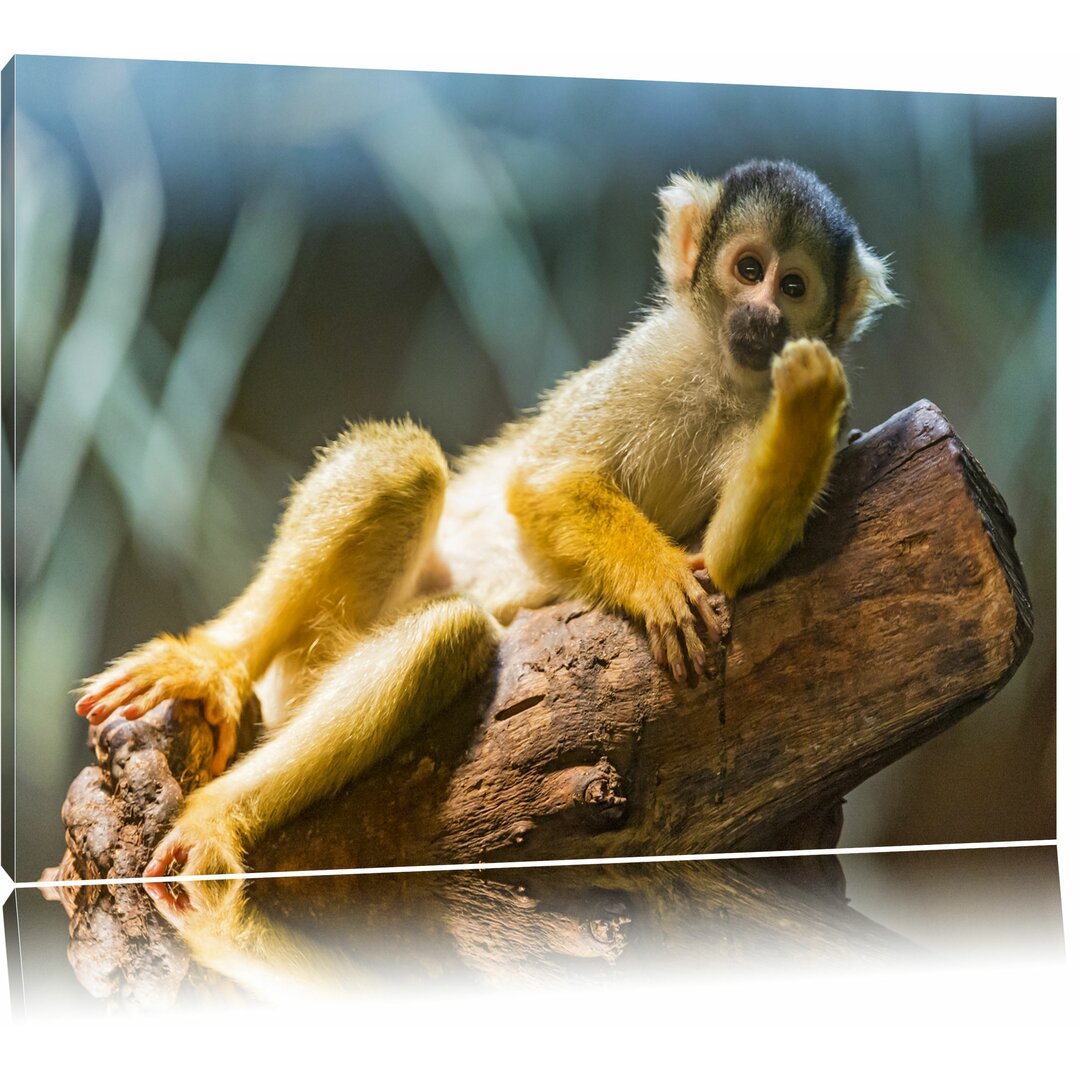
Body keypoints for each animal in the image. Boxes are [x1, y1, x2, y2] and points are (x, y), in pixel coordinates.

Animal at [73, 157, 894, 902]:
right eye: (748, 268)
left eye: (794, 287)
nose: (763, 316)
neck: (724, 373)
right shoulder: (646, 358)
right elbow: (539, 482)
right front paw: (655, 578)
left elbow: (725, 563)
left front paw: (811, 398)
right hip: (300, 660)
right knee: (407, 474)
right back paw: (214, 668)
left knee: (444, 633)